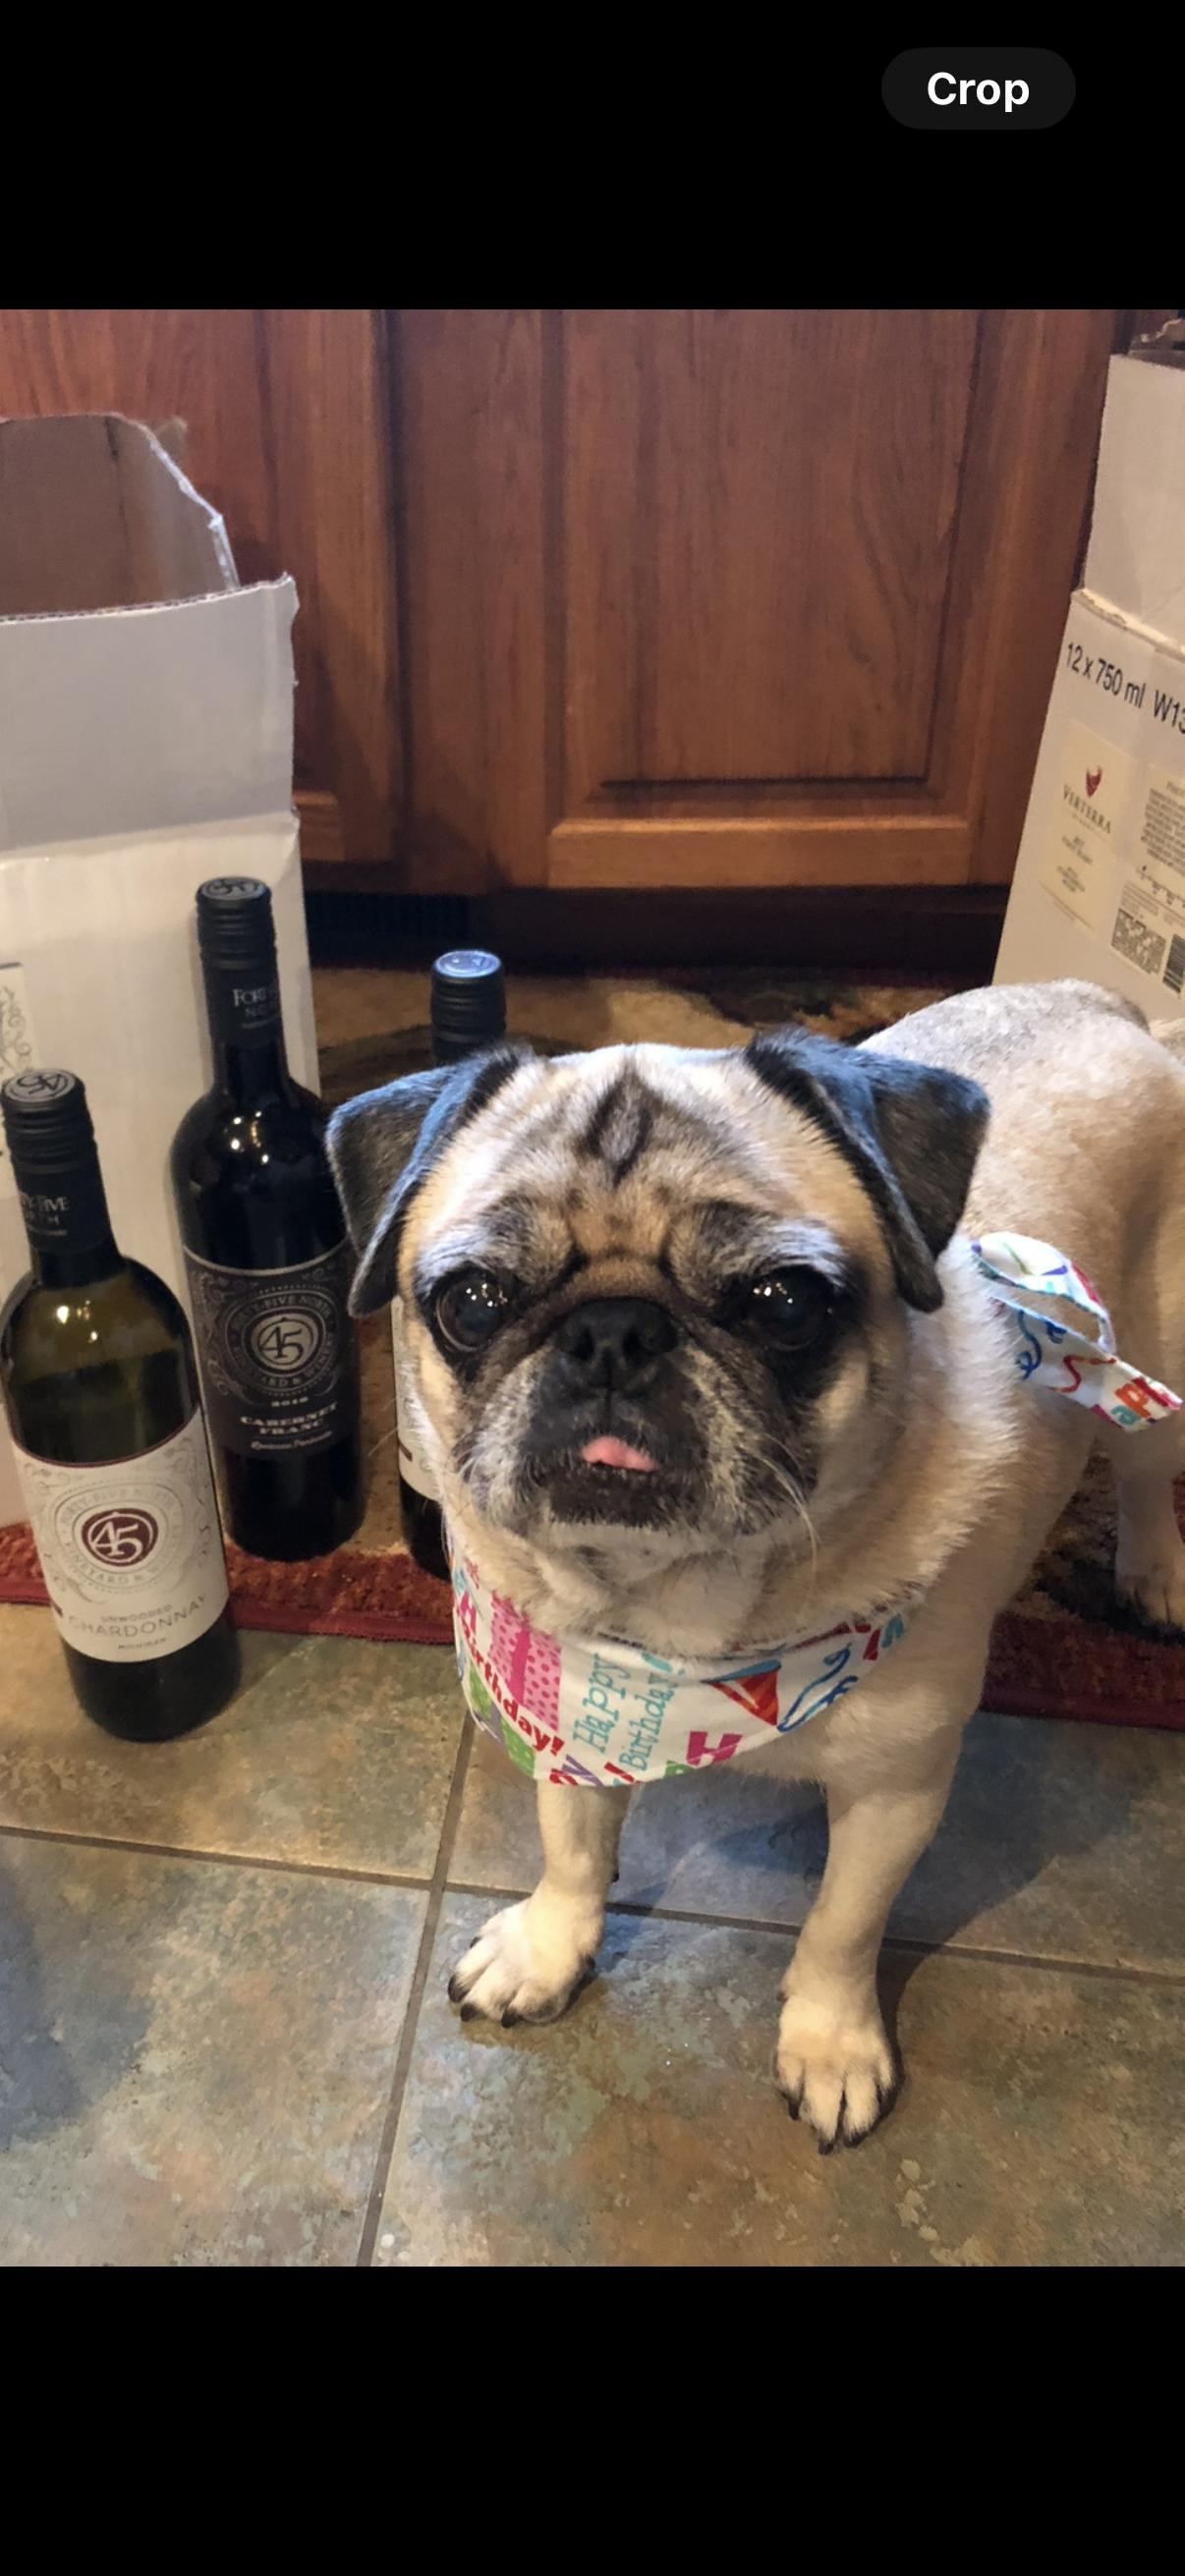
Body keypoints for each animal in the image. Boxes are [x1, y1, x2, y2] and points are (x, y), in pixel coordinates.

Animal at [326, 979, 1185, 2149]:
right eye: (474, 1302)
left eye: (783, 1304)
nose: (612, 1332)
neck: (677, 1624)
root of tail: (1106, 1003)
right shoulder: (570, 1726)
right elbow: (572, 1848)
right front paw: (551, 1947)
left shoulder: (896, 1791)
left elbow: (841, 1929)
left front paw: (831, 2043)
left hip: (1160, 1357)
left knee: (1148, 1473)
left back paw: (1155, 1577)